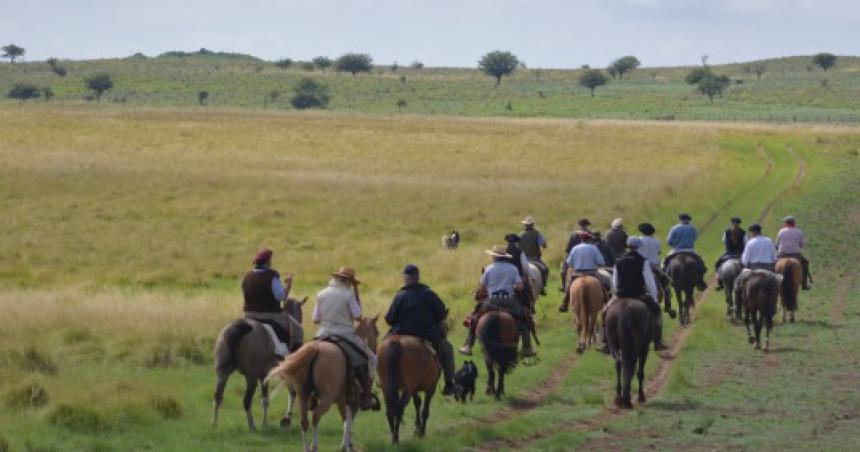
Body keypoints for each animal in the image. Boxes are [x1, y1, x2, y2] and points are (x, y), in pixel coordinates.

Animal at [211, 296, 306, 430]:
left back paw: (214, 423)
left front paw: (265, 422)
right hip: (251, 377)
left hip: (223, 373)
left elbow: (265, 399)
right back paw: (251, 425)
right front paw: (286, 418)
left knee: (217, 396)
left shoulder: (264, 375)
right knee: (246, 400)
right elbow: (291, 393)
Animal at [266, 316, 380, 452]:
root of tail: (316, 348)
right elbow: (348, 422)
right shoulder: (353, 401)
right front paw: (347, 445)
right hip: (327, 400)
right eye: (377, 333)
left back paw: (307, 447)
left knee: (304, 421)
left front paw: (348, 444)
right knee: (316, 416)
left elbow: (345, 420)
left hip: (303, 396)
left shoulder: (343, 401)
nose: (375, 349)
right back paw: (314, 445)